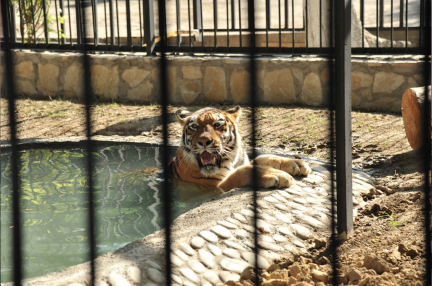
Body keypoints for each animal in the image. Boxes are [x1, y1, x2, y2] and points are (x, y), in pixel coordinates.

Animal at [169, 105, 310, 192]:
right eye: (194, 126)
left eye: (217, 125)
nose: (203, 141)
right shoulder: (215, 186)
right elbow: (242, 171)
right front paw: (276, 174)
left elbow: (262, 157)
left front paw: (296, 163)